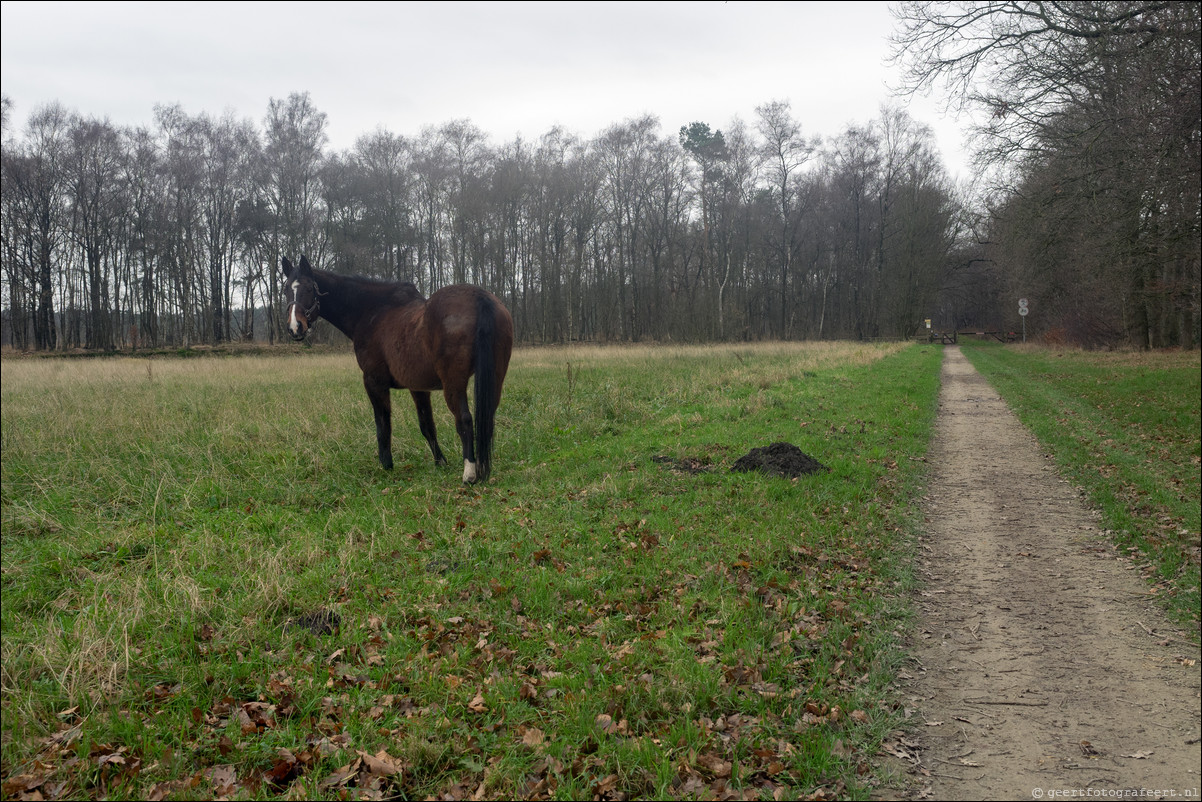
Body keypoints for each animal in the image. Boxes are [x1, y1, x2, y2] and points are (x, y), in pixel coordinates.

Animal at [283, 257, 514, 483]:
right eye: (286, 289)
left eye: (309, 289)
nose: (295, 328)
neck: (373, 312)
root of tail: (480, 297)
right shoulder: (418, 387)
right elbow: (427, 425)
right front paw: (440, 461)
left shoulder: (374, 382)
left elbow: (383, 425)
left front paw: (387, 465)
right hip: (495, 377)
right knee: (487, 417)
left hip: (454, 383)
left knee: (464, 419)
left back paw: (470, 473)